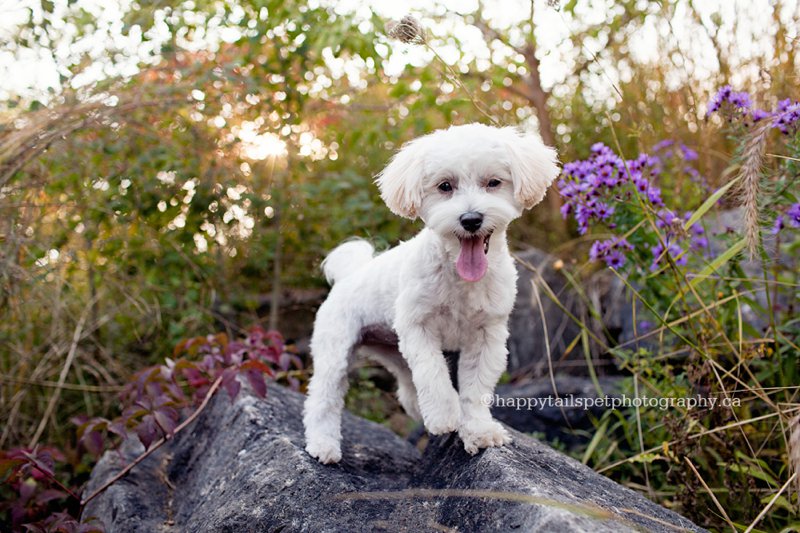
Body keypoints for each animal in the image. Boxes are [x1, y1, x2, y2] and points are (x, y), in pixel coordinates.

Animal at [304, 120, 560, 462]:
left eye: (493, 182)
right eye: (445, 186)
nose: (470, 219)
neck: (459, 277)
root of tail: (350, 275)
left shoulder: (487, 335)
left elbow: (475, 389)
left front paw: (478, 430)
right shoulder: (418, 328)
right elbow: (433, 374)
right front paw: (443, 416)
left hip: (395, 353)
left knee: (408, 390)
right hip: (336, 349)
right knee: (323, 398)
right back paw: (323, 444)